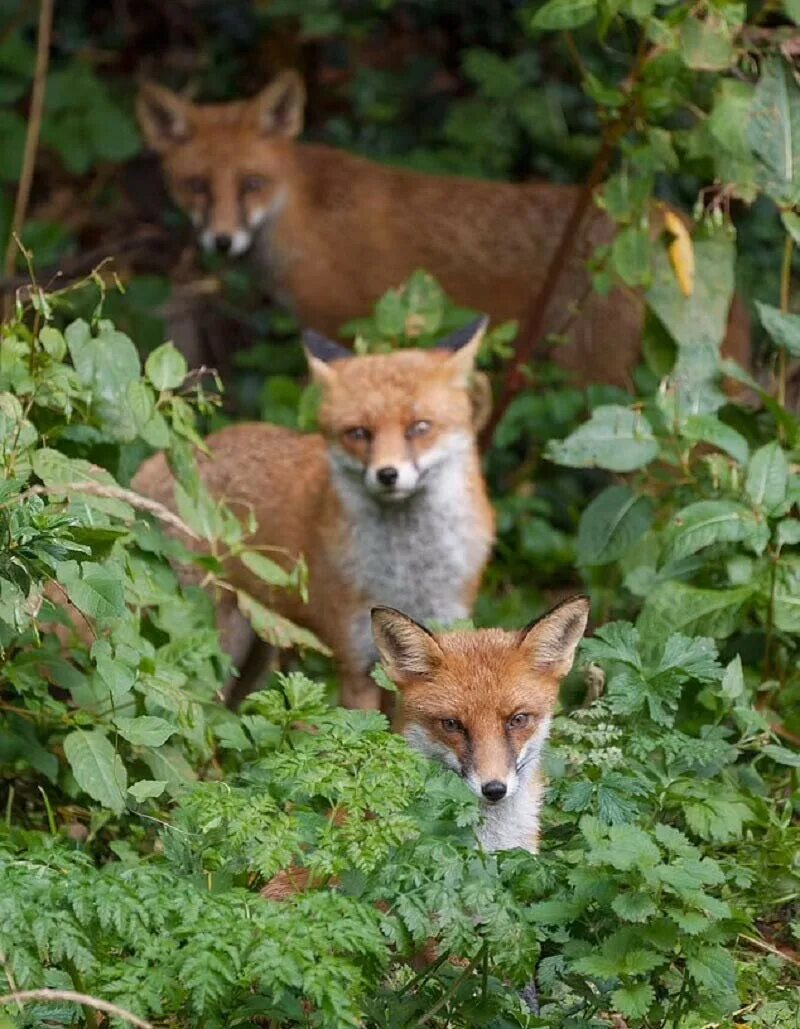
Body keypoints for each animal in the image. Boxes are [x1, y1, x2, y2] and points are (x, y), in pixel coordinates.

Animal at [131, 316, 492, 712]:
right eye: (359, 433)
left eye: (420, 427)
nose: (387, 474)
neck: (408, 574)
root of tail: (163, 460)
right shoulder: (357, 663)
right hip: (217, 644)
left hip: (259, 649)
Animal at [136, 68, 749, 388]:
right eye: (196, 185)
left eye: (251, 183)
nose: (221, 240)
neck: (302, 210)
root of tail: (667, 223)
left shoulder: (341, 328)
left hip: (598, 379)